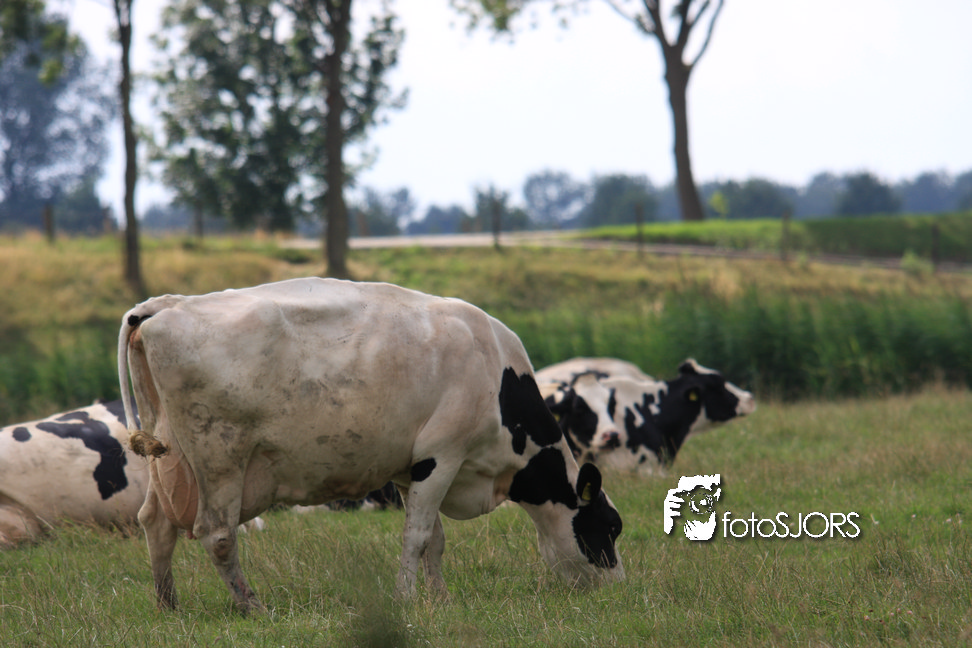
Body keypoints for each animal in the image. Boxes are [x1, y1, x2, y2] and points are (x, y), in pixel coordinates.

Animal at [118, 278, 624, 614]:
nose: (618, 585)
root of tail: (164, 305)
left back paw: (168, 606)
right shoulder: (443, 455)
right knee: (217, 534)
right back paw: (252, 607)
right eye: (610, 528)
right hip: (220, 456)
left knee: (154, 522)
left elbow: (434, 538)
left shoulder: (409, 465)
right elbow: (416, 536)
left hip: (170, 454)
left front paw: (440, 599)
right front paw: (406, 598)